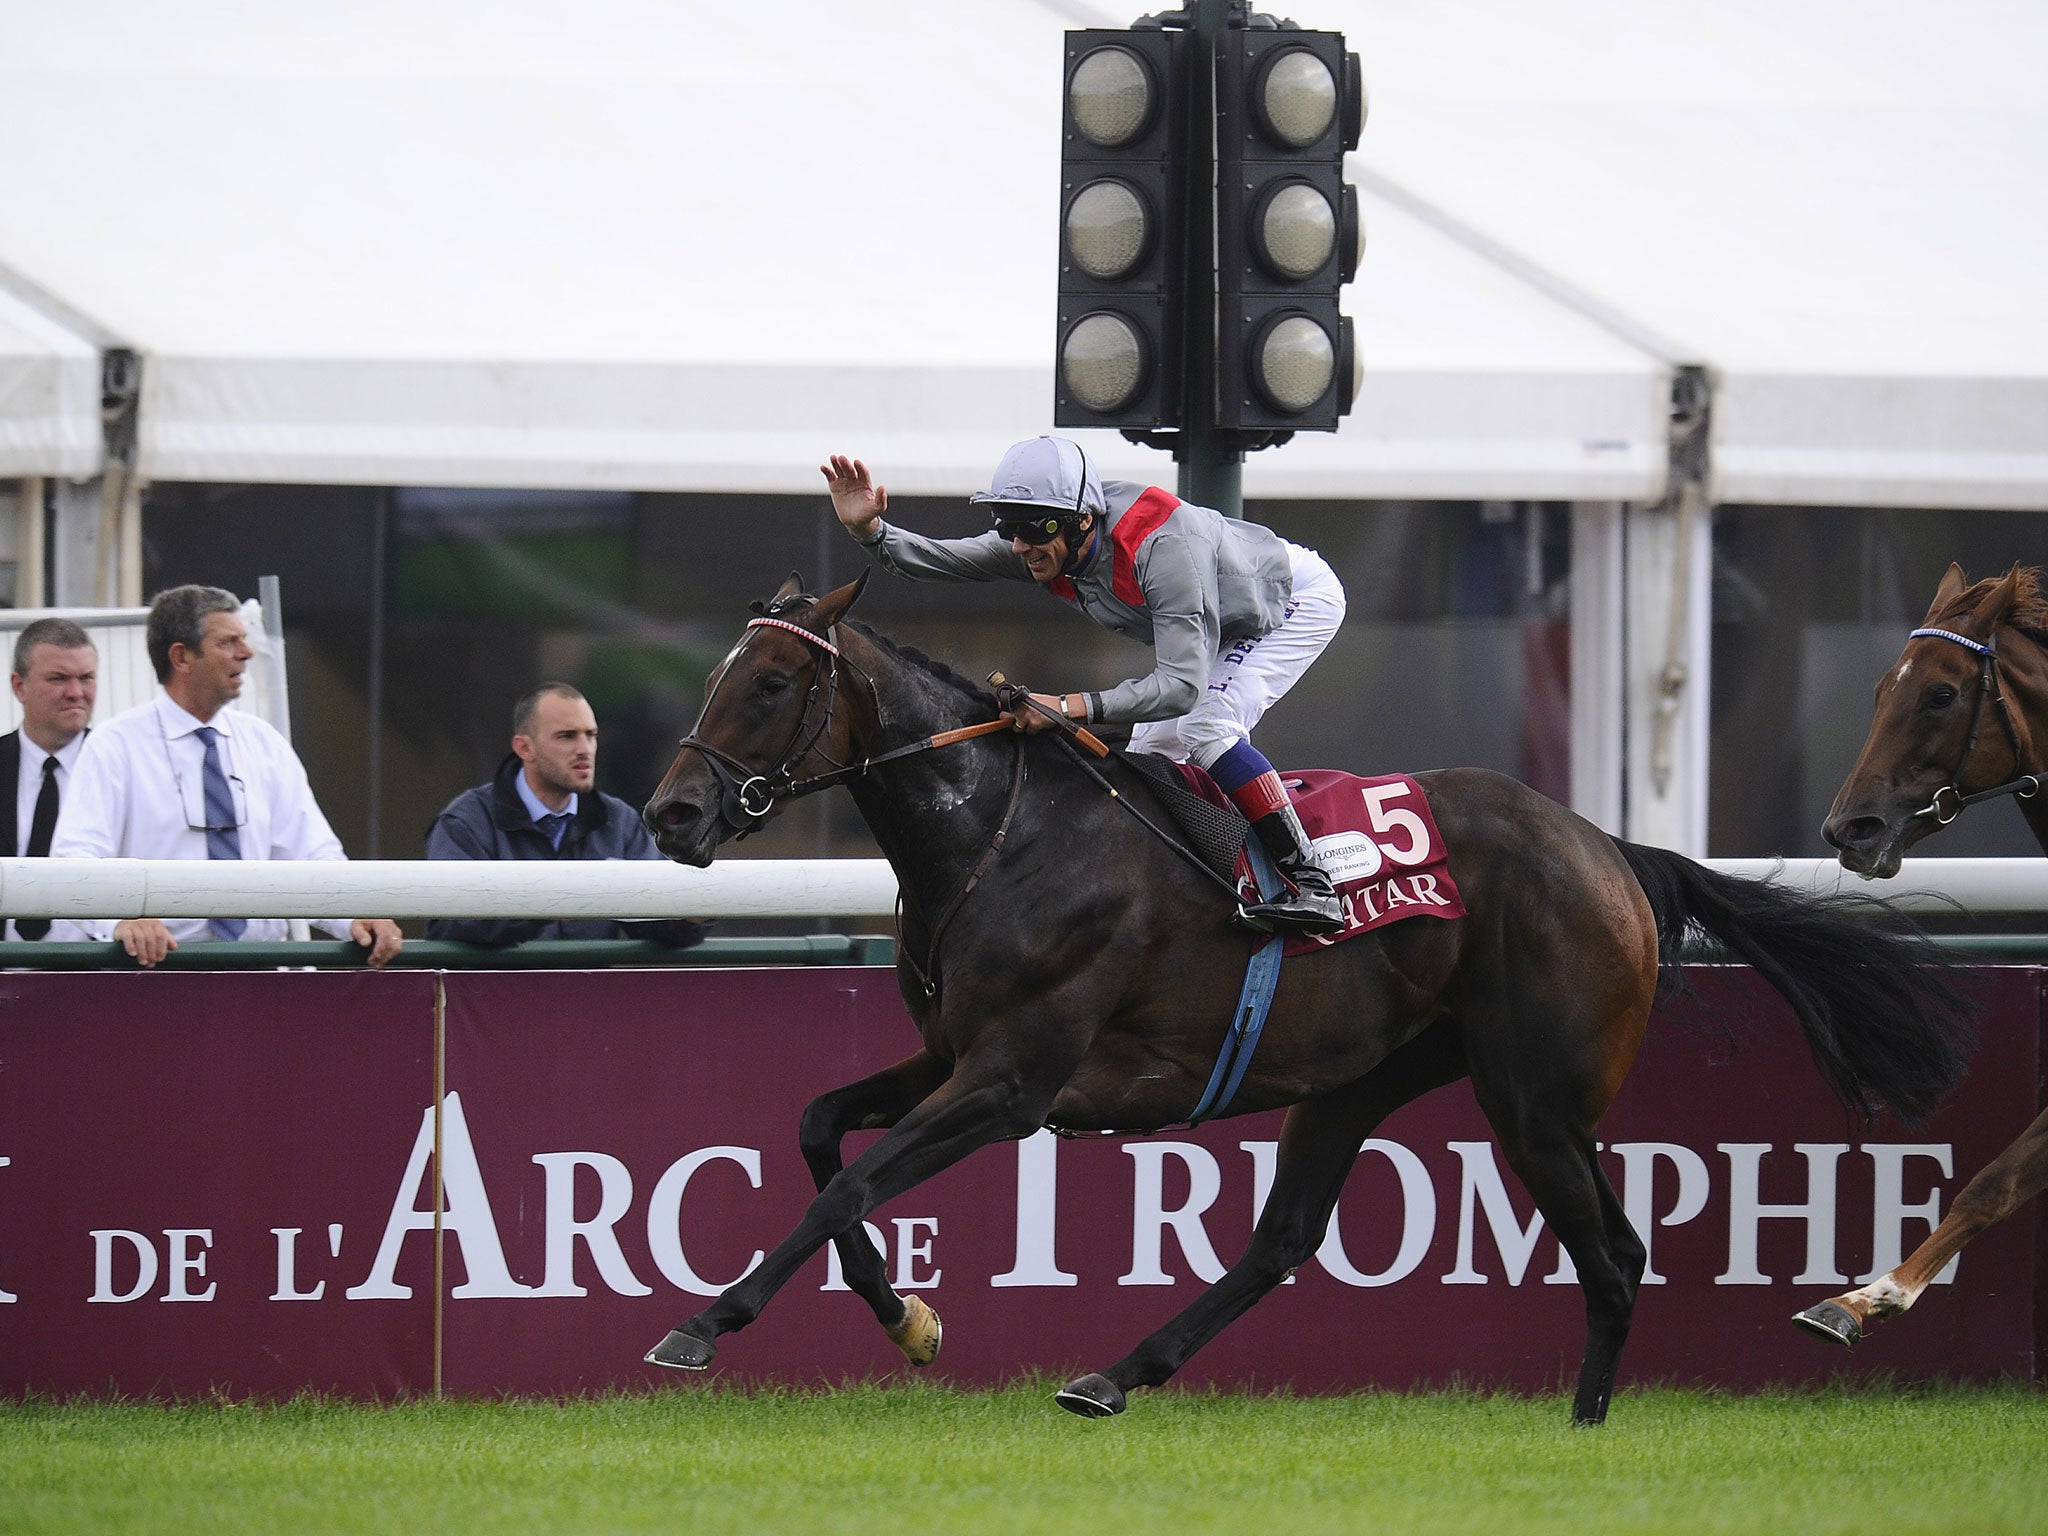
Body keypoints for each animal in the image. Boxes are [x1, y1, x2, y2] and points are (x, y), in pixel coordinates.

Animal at [647, 573, 1974, 1425]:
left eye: (768, 683)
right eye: (718, 673)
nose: (668, 813)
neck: (998, 835)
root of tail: (1610, 851)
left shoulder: (1013, 1078)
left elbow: (853, 1183)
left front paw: (707, 1323)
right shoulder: (948, 1057)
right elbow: (819, 1132)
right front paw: (907, 1321)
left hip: (1534, 1099)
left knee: (1608, 1253)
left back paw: (1585, 1432)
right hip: (1368, 1077)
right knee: (1290, 1237)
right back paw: (1115, 1375)